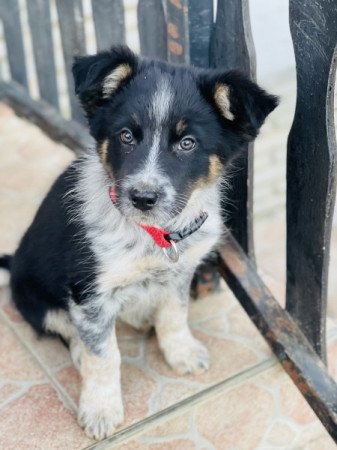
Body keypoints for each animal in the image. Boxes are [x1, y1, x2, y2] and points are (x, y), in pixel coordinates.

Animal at [0, 45, 276, 440]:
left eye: (188, 143)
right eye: (126, 136)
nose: (143, 198)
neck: (153, 233)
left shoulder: (180, 273)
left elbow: (175, 314)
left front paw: (181, 352)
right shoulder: (89, 293)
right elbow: (104, 355)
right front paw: (101, 409)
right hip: (35, 298)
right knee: (66, 329)